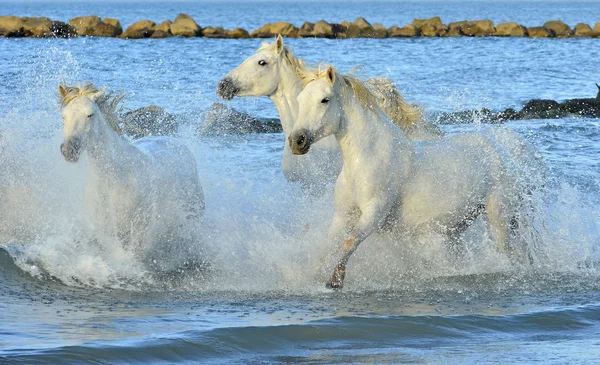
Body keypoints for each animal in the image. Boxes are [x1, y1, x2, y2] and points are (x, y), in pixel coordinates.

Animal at [59, 83, 204, 270]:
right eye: (64, 116)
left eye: (90, 114)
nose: (69, 150)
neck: (115, 177)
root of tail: (181, 146)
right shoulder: (104, 228)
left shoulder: (140, 229)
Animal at [290, 64, 524, 288]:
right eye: (300, 100)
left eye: (325, 100)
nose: (296, 141)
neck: (365, 160)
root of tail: (501, 151)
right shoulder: (343, 214)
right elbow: (327, 246)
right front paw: (313, 276)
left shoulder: (374, 213)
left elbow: (350, 241)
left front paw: (335, 280)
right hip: (457, 226)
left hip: (498, 218)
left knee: (510, 251)